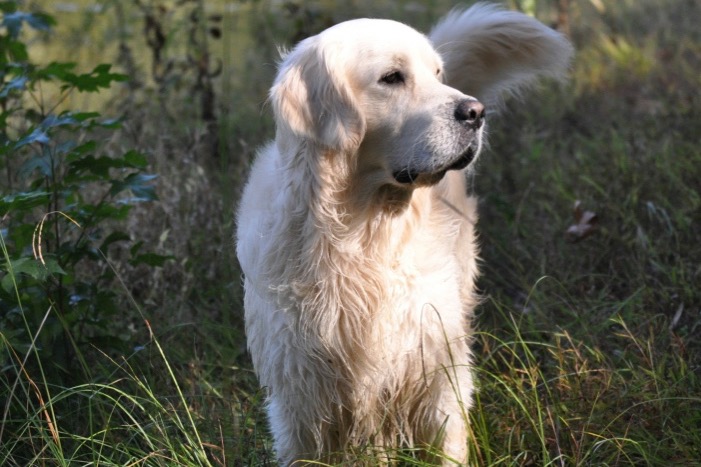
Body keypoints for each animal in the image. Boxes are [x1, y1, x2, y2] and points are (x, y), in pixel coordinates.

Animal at [238, 2, 572, 464]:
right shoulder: (299, 393)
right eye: (392, 77)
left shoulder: (435, 368)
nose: (475, 111)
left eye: (437, 73)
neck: (361, 235)